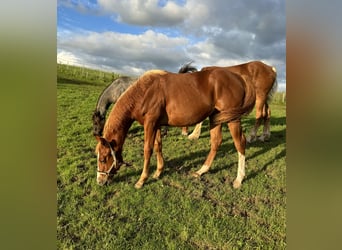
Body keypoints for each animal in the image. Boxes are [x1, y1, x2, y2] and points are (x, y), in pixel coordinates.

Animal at [95, 67, 255, 188]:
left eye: (103, 159)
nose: (100, 181)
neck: (144, 92)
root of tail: (238, 78)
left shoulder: (150, 124)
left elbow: (147, 149)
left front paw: (142, 180)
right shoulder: (157, 125)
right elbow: (158, 146)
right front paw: (158, 172)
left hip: (233, 119)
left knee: (240, 143)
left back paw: (239, 179)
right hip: (216, 118)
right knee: (216, 142)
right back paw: (201, 171)